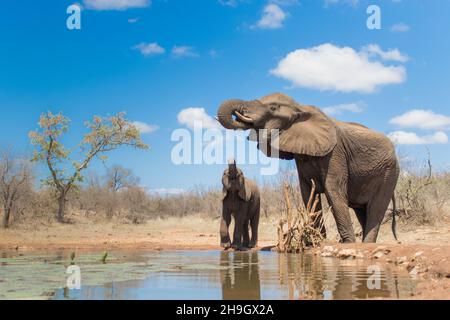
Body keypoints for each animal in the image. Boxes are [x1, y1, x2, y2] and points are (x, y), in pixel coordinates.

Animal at [217, 92, 398, 242]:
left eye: (273, 107)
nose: (239, 114)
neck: (301, 107)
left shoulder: (335, 152)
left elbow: (333, 190)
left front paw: (347, 243)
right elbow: (308, 192)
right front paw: (317, 241)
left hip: (389, 173)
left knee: (375, 209)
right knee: (362, 211)